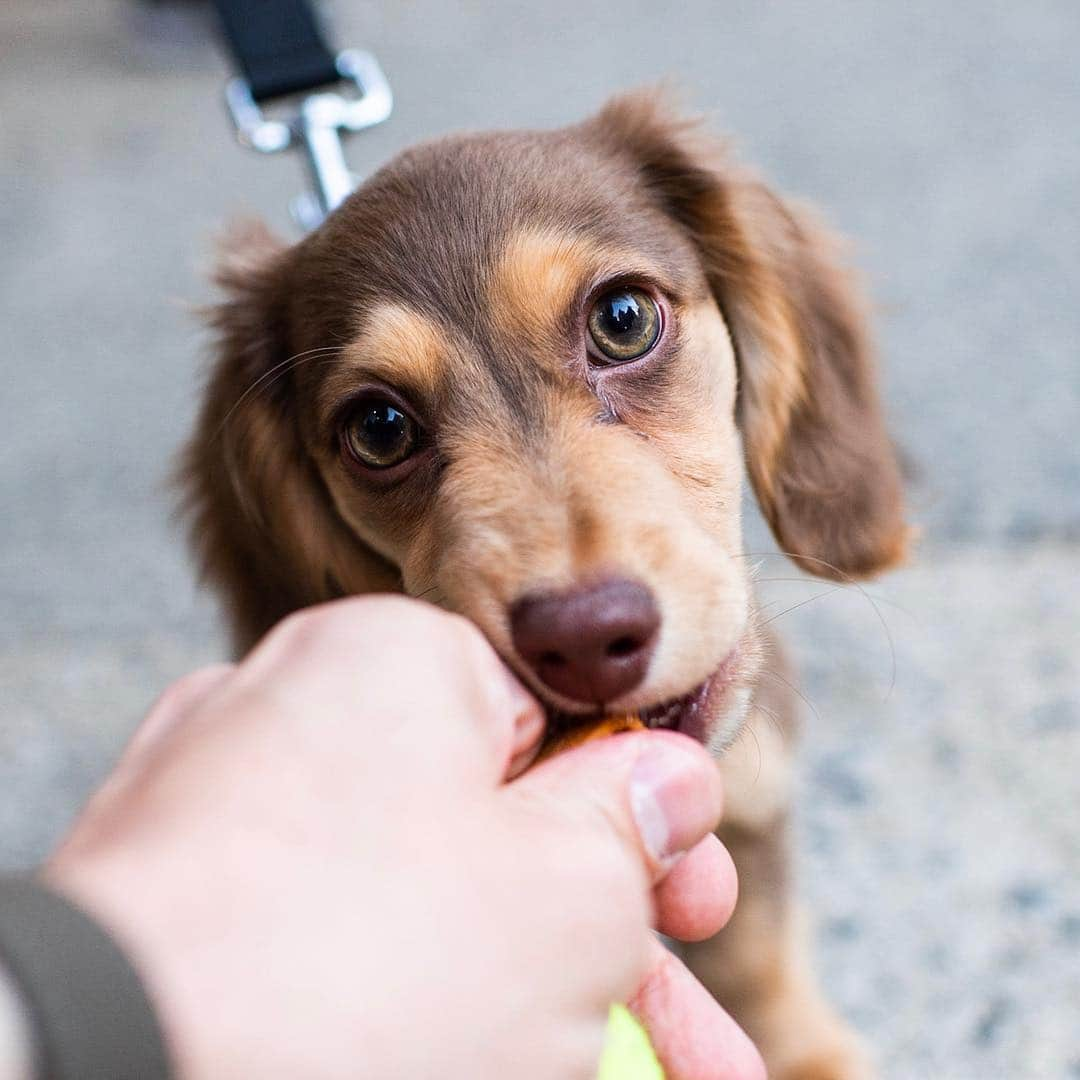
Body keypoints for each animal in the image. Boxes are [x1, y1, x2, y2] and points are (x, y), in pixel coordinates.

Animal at [181, 95, 907, 1080]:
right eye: (378, 428)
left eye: (624, 318)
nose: (585, 638)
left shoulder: (756, 799)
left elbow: (756, 950)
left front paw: (803, 1055)